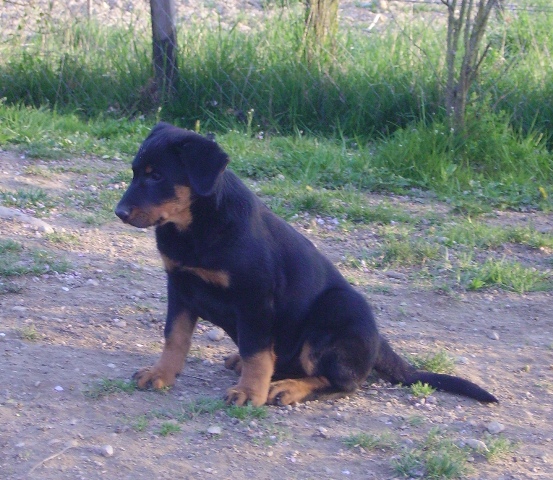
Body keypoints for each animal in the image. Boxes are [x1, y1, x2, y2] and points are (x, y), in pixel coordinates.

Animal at [115, 122, 498, 407]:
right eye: (134, 172)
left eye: (156, 176)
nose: (119, 212)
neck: (193, 227)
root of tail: (379, 345)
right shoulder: (179, 286)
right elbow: (174, 337)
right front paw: (161, 374)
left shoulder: (255, 299)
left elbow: (256, 351)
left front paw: (249, 392)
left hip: (335, 309)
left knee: (342, 382)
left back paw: (286, 388)